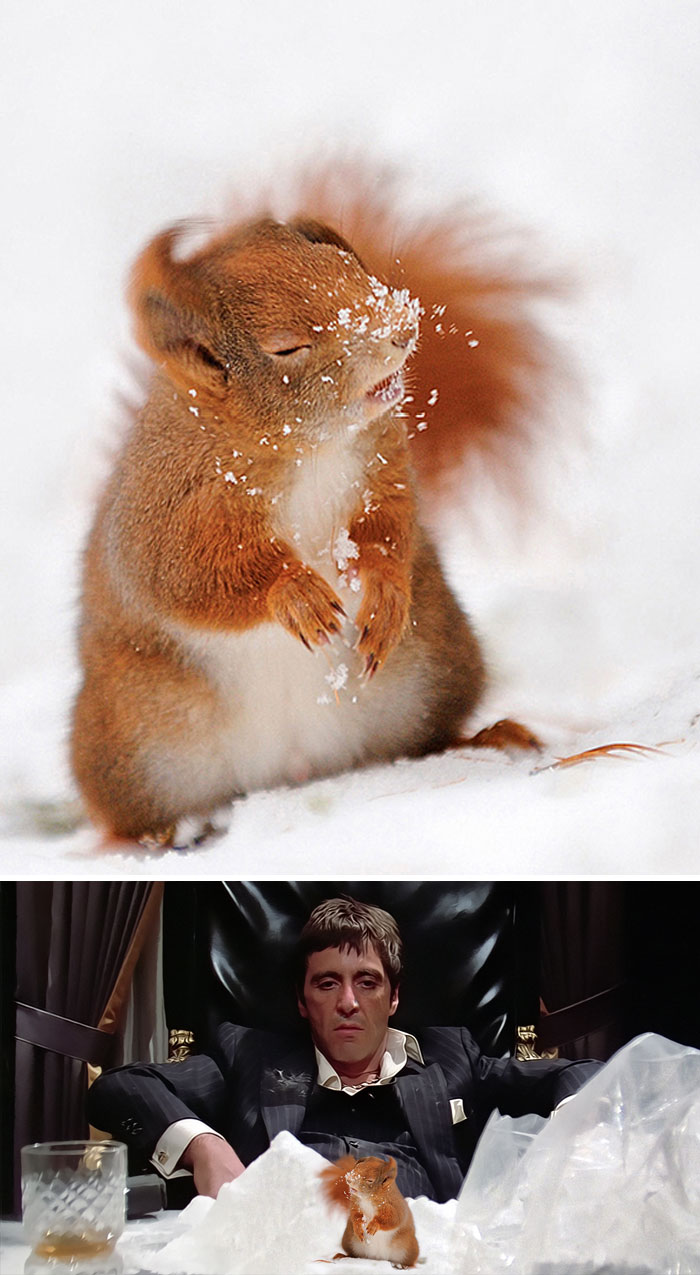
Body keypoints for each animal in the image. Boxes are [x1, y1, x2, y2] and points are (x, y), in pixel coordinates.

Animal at [70, 169, 550, 845]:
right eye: (286, 348)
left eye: (347, 263)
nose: (400, 327)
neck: (308, 450)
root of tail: (293, 770)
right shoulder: (167, 512)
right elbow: (192, 578)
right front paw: (294, 594)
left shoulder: (382, 464)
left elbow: (390, 526)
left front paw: (384, 588)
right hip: (133, 743)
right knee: (125, 812)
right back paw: (147, 839)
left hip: (434, 666)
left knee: (422, 741)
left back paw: (484, 738)